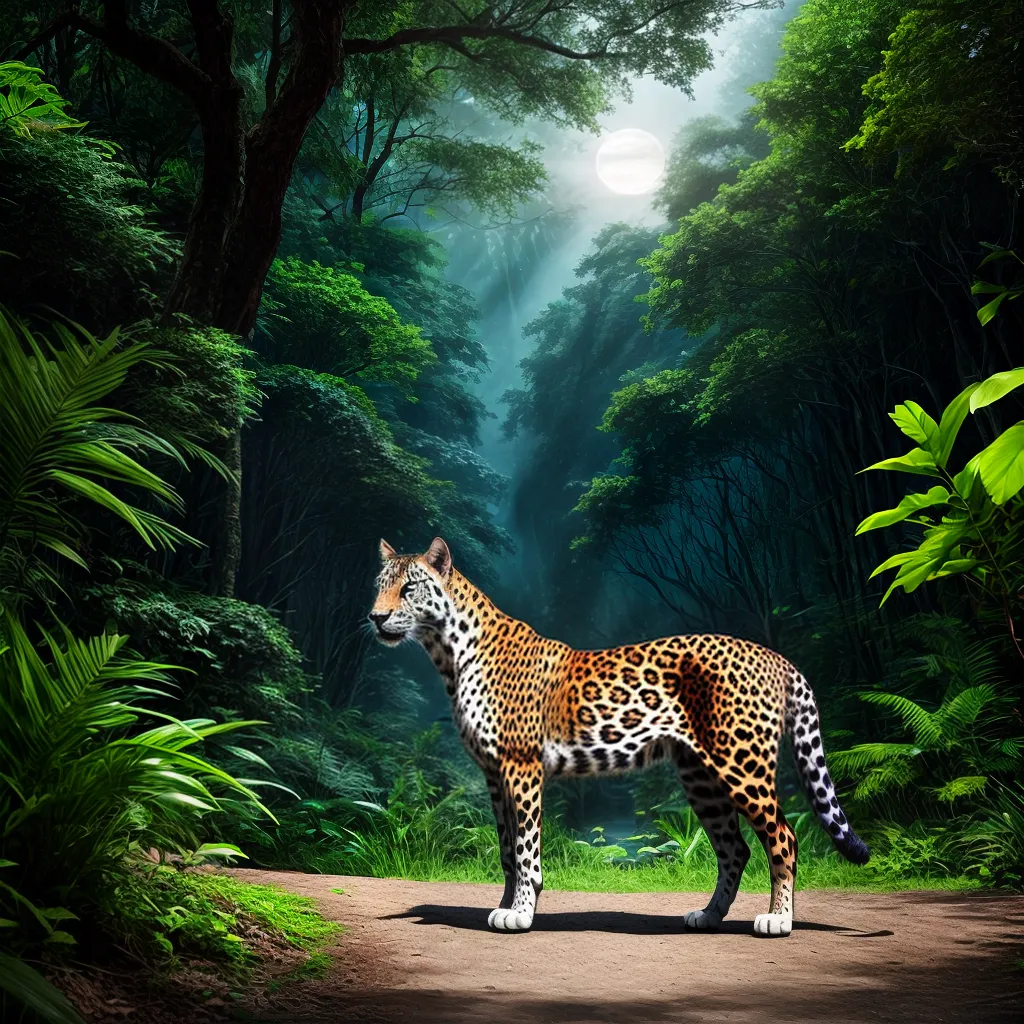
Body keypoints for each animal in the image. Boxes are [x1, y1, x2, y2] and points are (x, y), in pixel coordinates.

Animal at [368, 536, 869, 938]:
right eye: (379, 584)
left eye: (408, 588)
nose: (375, 617)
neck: (448, 652)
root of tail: (776, 656)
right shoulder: (494, 774)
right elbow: (507, 849)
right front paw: (505, 905)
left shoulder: (521, 766)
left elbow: (527, 848)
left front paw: (522, 912)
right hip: (702, 778)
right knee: (735, 849)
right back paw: (708, 916)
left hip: (742, 763)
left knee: (783, 836)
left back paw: (778, 920)